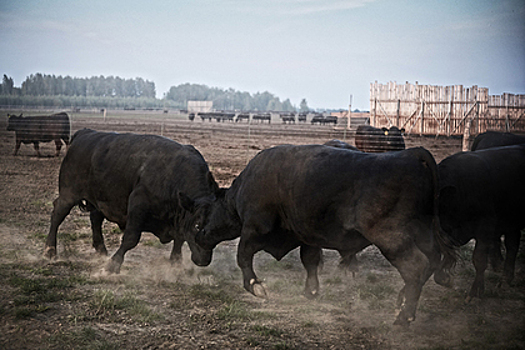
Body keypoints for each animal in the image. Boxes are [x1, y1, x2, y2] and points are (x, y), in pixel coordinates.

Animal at [43, 129, 219, 274]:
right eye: (197, 225)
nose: (203, 261)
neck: (174, 176)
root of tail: (85, 133)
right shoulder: (137, 207)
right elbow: (130, 239)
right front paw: (112, 266)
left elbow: (180, 239)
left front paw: (175, 263)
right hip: (69, 194)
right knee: (57, 214)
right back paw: (50, 250)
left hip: (99, 200)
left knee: (95, 219)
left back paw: (101, 250)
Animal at [194, 144, 452, 326]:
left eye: (198, 223)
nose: (197, 252)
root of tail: (412, 154)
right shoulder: (306, 235)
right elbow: (309, 261)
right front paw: (311, 291)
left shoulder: (254, 228)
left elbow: (243, 256)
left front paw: (255, 286)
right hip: (423, 235)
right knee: (431, 262)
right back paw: (402, 301)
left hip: (393, 239)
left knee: (416, 267)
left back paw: (404, 316)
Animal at [438, 145, 524, 300]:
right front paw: (446, 279)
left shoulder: (485, 228)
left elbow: (479, 259)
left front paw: (476, 291)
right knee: (512, 245)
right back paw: (506, 278)